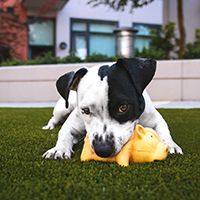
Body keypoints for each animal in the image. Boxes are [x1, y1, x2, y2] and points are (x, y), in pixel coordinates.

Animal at [42, 57, 183, 159]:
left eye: (123, 107)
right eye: (85, 110)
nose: (103, 149)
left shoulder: (155, 119)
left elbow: (164, 131)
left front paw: (170, 144)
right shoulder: (72, 124)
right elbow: (64, 133)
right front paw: (58, 149)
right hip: (62, 108)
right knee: (54, 118)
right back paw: (49, 126)